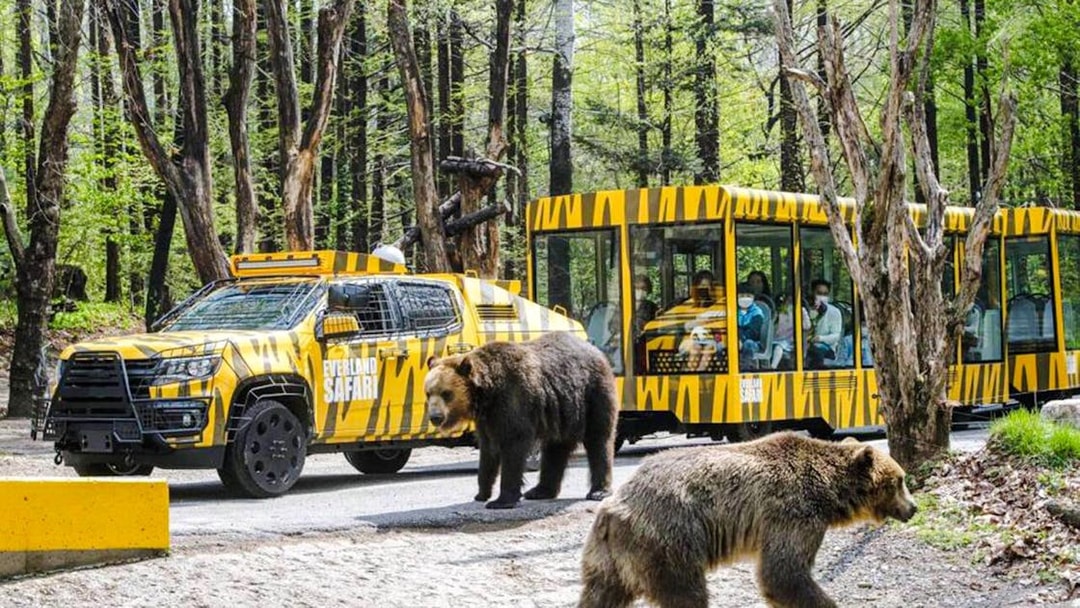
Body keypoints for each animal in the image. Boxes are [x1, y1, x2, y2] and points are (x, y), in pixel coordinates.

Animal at [424, 331, 619, 510]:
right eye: (428, 393)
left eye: (446, 393)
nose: (435, 417)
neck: (487, 394)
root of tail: (595, 349)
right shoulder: (488, 418)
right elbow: (488, 452)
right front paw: (481, 494)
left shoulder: (514, 400)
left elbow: (513, 446)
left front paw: (501, 501)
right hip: (563, 411)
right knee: (555, 449)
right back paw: (540, 491)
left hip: (592, 394)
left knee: (598, 439)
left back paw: (598, 491)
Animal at [577, 432, 918, 608]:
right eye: (900, 481)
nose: (913, 507)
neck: (829, 493)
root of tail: (614, 508)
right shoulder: (792, 513)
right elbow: (784, 573)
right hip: (668, 540)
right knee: (686, 593)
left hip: (608, 559)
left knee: (599, 595)